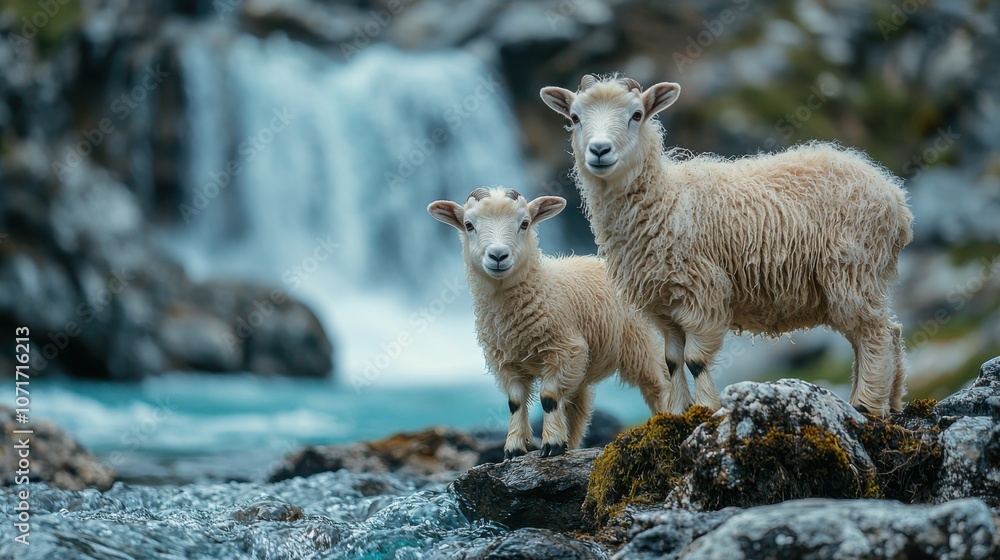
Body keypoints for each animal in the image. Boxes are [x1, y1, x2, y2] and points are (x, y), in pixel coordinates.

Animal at [428, 187, 679, 458]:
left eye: (525, 223)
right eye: (469, 225)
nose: (498, 256)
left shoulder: (564, 350)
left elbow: (548, 397)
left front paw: (552, 444)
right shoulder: (506, 362)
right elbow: (515, 402)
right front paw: (514, 448)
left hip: (640, 345)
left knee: (658, 386)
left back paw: (664, 421)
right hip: (584, 368)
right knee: (578, 408)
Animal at [540, 74, 913, 417]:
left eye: (636, 114)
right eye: (575, 117)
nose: (599, 151)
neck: (666, 201)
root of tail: (895, 197)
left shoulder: (701, 291)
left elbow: (695, 360)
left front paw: (706, 408)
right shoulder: (663, 305)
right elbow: (672, 360)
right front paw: (677, 412)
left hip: (853, 270)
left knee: (875, 336)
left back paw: (866, 405)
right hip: (858, 279)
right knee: (888, 333)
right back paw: (891, 403)